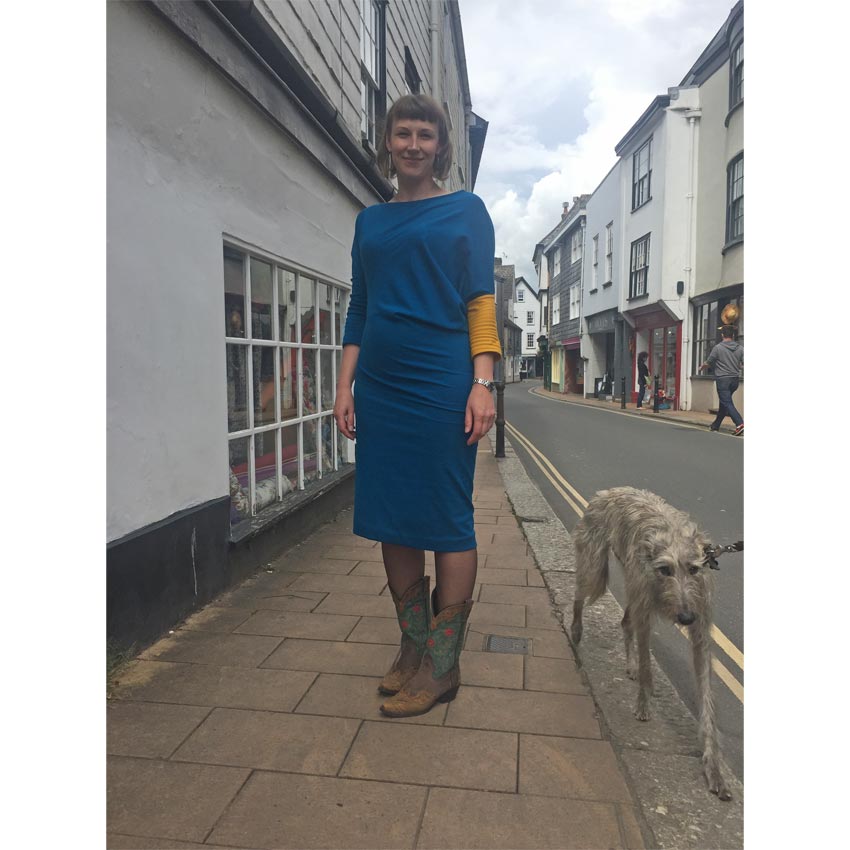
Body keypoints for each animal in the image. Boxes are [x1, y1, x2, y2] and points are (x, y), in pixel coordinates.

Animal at [568, 486, 728, 800]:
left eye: (694, 569)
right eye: (664, 569)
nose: (685, 617)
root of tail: (608, 492)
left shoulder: (701, 625)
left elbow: (706, 695)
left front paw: (713, 766)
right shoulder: (646, 603)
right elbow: (647, 665)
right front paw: (643, 704)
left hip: (630, 583)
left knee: (624, 622)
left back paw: (628, 664)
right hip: (595, 563)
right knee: (581, 592)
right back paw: (576, 629)